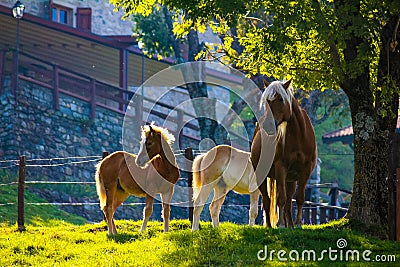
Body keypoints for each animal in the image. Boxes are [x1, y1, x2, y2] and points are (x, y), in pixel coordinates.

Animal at [252, 79, 318, 228]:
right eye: (266, 101)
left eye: (281, 99)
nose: (268, 125)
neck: (299, 136)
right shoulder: (281, 168)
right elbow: (281, 199)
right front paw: (281, 224)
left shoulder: (305, 169)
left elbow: (299, 198)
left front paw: (298, 224)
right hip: (263, 175)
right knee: (267, 200)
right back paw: (270, 225)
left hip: (290, 179)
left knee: (288, 202)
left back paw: (291, 225)